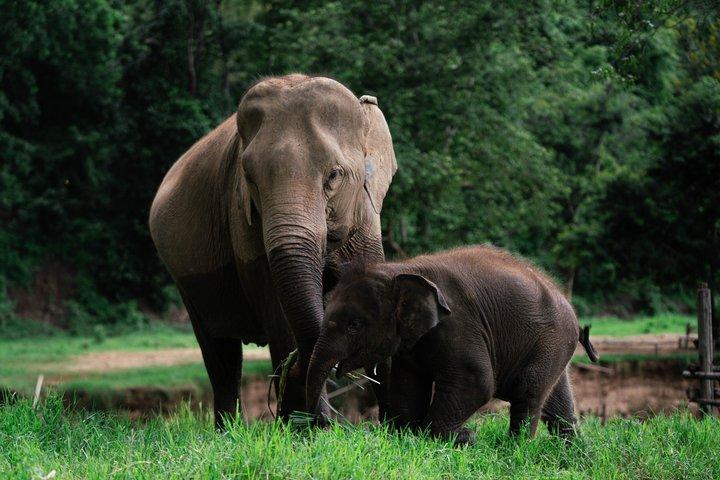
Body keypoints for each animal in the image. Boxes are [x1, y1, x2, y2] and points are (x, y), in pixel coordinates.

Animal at [149, 74, 397, 426]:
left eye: (334, 175)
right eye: (249, 178)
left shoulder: (365, 213)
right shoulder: (243, 222)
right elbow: (280, 317)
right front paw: (309, 428)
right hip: (187, 284)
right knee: (221, 355)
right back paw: (230, 429)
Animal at [306, 245, 599, 445]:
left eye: (354, 325)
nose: (319, 428)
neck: (399, 269)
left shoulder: (459, 324)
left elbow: (476, 382)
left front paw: (460, 438)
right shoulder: (411, 344)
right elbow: (408, 386)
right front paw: (410, 435)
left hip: (551, 339)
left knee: (527, 391)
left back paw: (516, 448)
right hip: (553, 345)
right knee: (555, 400)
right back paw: (572, 450)